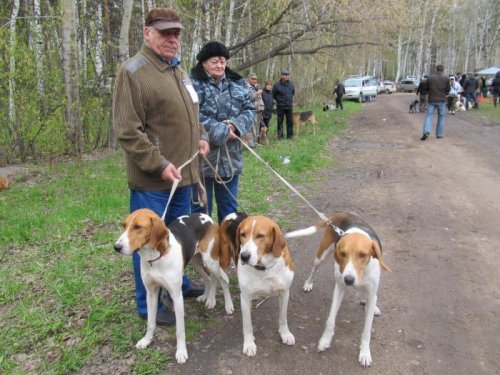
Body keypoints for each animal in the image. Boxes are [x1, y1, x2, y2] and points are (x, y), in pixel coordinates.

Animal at [114, 209, 233, 364]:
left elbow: (180, 331)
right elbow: (151, 322)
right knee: (208, 278)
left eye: (138, 227)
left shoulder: (177, 296)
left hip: (210, 261)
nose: (117, 247)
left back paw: (227, 305)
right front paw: (146, 340)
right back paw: (208, 298)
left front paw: (181, 352)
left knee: (222, 281)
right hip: (195, 260)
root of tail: (205, 216)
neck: (155, 257)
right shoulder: (151, 293)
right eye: (124, 225)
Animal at [233, 216, 294, 356]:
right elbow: (247, 325)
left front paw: (285, 334)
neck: (264, 269)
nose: (244, 256)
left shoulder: (285, 293)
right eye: (242, 234)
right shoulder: (245, 298)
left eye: (260, 236)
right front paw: (249, 343)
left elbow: (283, 317)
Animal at [286, 213, 390, 368]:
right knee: (314, 268)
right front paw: (325, 340)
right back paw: (309, 283)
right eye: (342, 253)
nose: (348, 280)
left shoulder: (371, 293)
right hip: (322, 255)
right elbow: (330, 320)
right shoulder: (339, 289)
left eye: (362, 255)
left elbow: (366, 330)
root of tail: (342, 213)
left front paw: (365, 353)